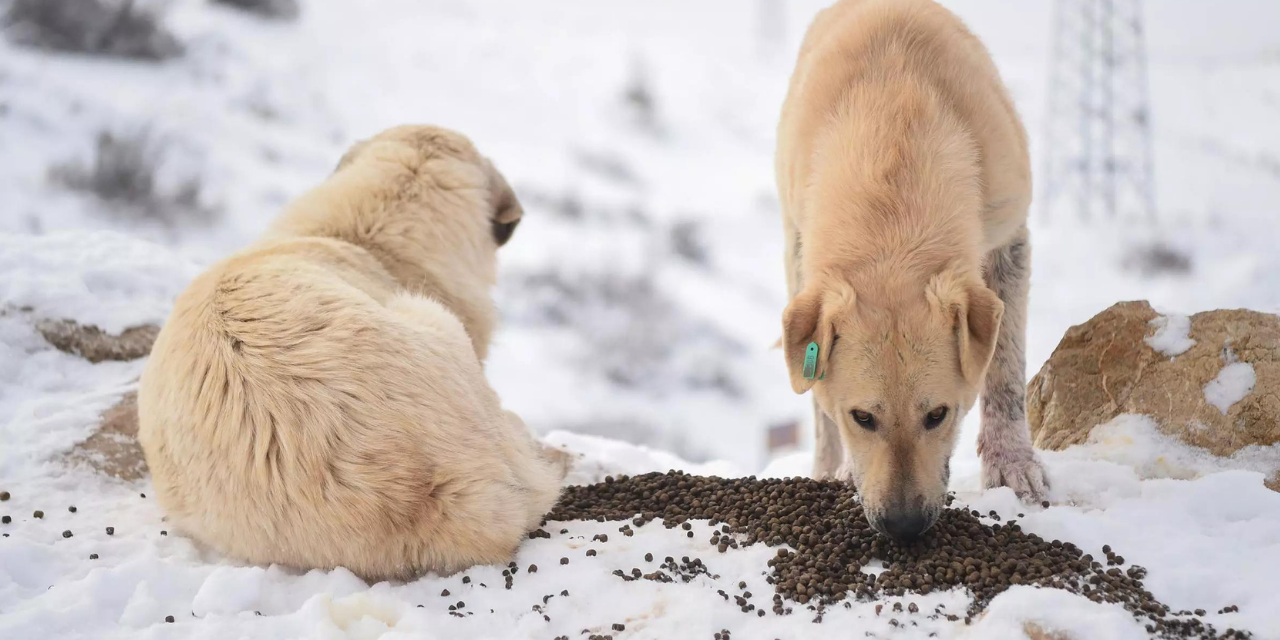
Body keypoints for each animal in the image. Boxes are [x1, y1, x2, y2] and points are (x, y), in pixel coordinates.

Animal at [773, 0, 1044, 540]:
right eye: (862, 417)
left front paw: (1012, 464)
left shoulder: (1010, 238)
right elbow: (819, 400)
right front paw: (839, 471)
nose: (903, 525)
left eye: (938, 415)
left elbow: (1005, 366)